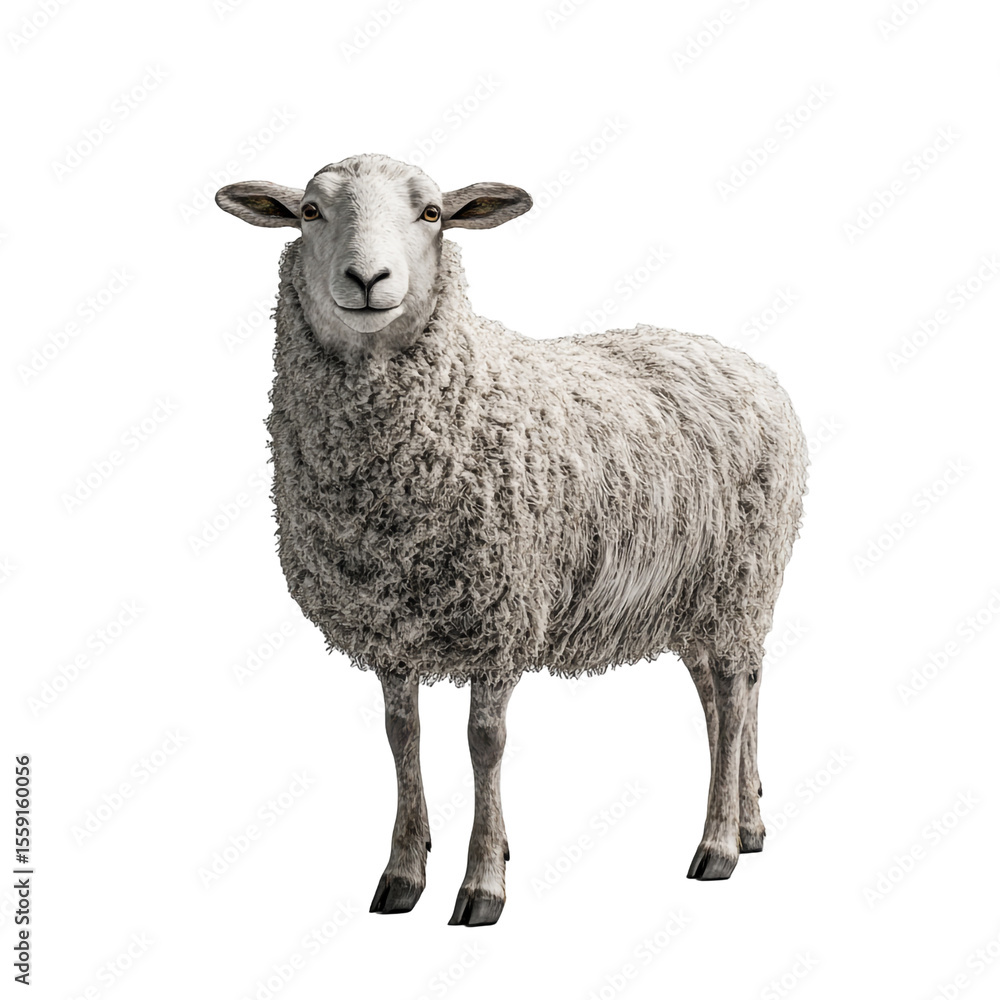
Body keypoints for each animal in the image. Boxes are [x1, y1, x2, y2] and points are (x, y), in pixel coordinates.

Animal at [215, 153, 808, 926]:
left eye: (432, 213)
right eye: (310, 212)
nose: (368, 279)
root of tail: (746, 363)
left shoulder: (503, 612)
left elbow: (484, 744)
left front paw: (482, 883)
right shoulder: (391, 625)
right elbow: (401, 736)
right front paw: (403, 873)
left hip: (742, 576)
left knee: (736, 696)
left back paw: (719, 845)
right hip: (691, 594)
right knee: (723, 692)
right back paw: (749, 822)